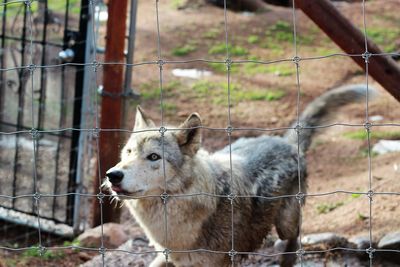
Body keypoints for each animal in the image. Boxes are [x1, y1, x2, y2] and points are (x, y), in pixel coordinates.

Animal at [102, 85, 372, 266]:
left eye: (153, 157)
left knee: (294, 241)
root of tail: (286, 141)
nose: (112, 175)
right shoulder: (166, 257)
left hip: (285, 224)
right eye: (128, 152)